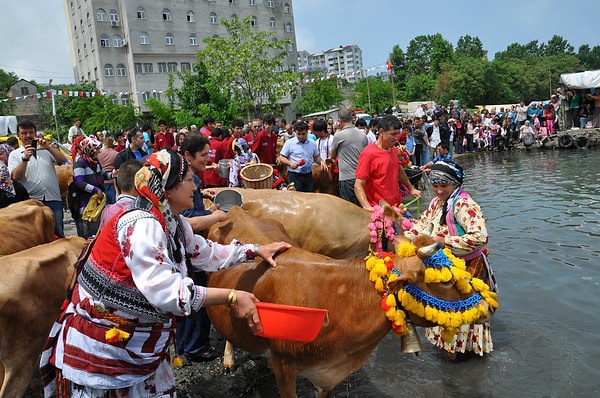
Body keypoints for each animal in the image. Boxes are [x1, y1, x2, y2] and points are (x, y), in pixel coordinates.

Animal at [209, 208, 494, 398]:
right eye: (445, 281)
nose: (489, 306)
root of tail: (236, 210)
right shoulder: (285, 365)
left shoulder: (326, 374)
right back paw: (228, 360)